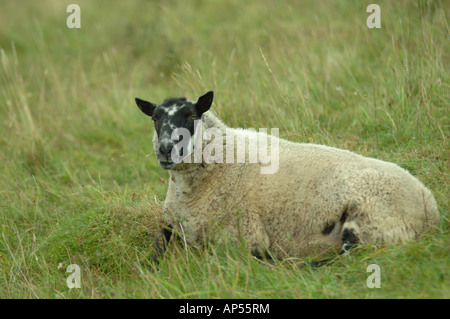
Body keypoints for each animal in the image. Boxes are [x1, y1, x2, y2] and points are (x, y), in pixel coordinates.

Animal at [134, 91, 440, 266]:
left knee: (343, 260)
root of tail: (431, 208)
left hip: (370, 220)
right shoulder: (177, 223)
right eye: (155, 118)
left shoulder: (243, 236)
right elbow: (158, 245)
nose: (165, 149)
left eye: (191, 115)